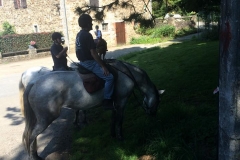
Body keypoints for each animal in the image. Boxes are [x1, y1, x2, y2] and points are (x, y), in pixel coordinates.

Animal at [22, 59, 163, 159]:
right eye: (158, 102)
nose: (153, 115)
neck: (127, 73)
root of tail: (34, 82)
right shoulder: (122, 102)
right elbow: (119, 121)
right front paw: (120, 137)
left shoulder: (115, 105)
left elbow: (113, 120)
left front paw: (113, 136)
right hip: (46, 119)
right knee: (31, 136)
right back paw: (33, 156)